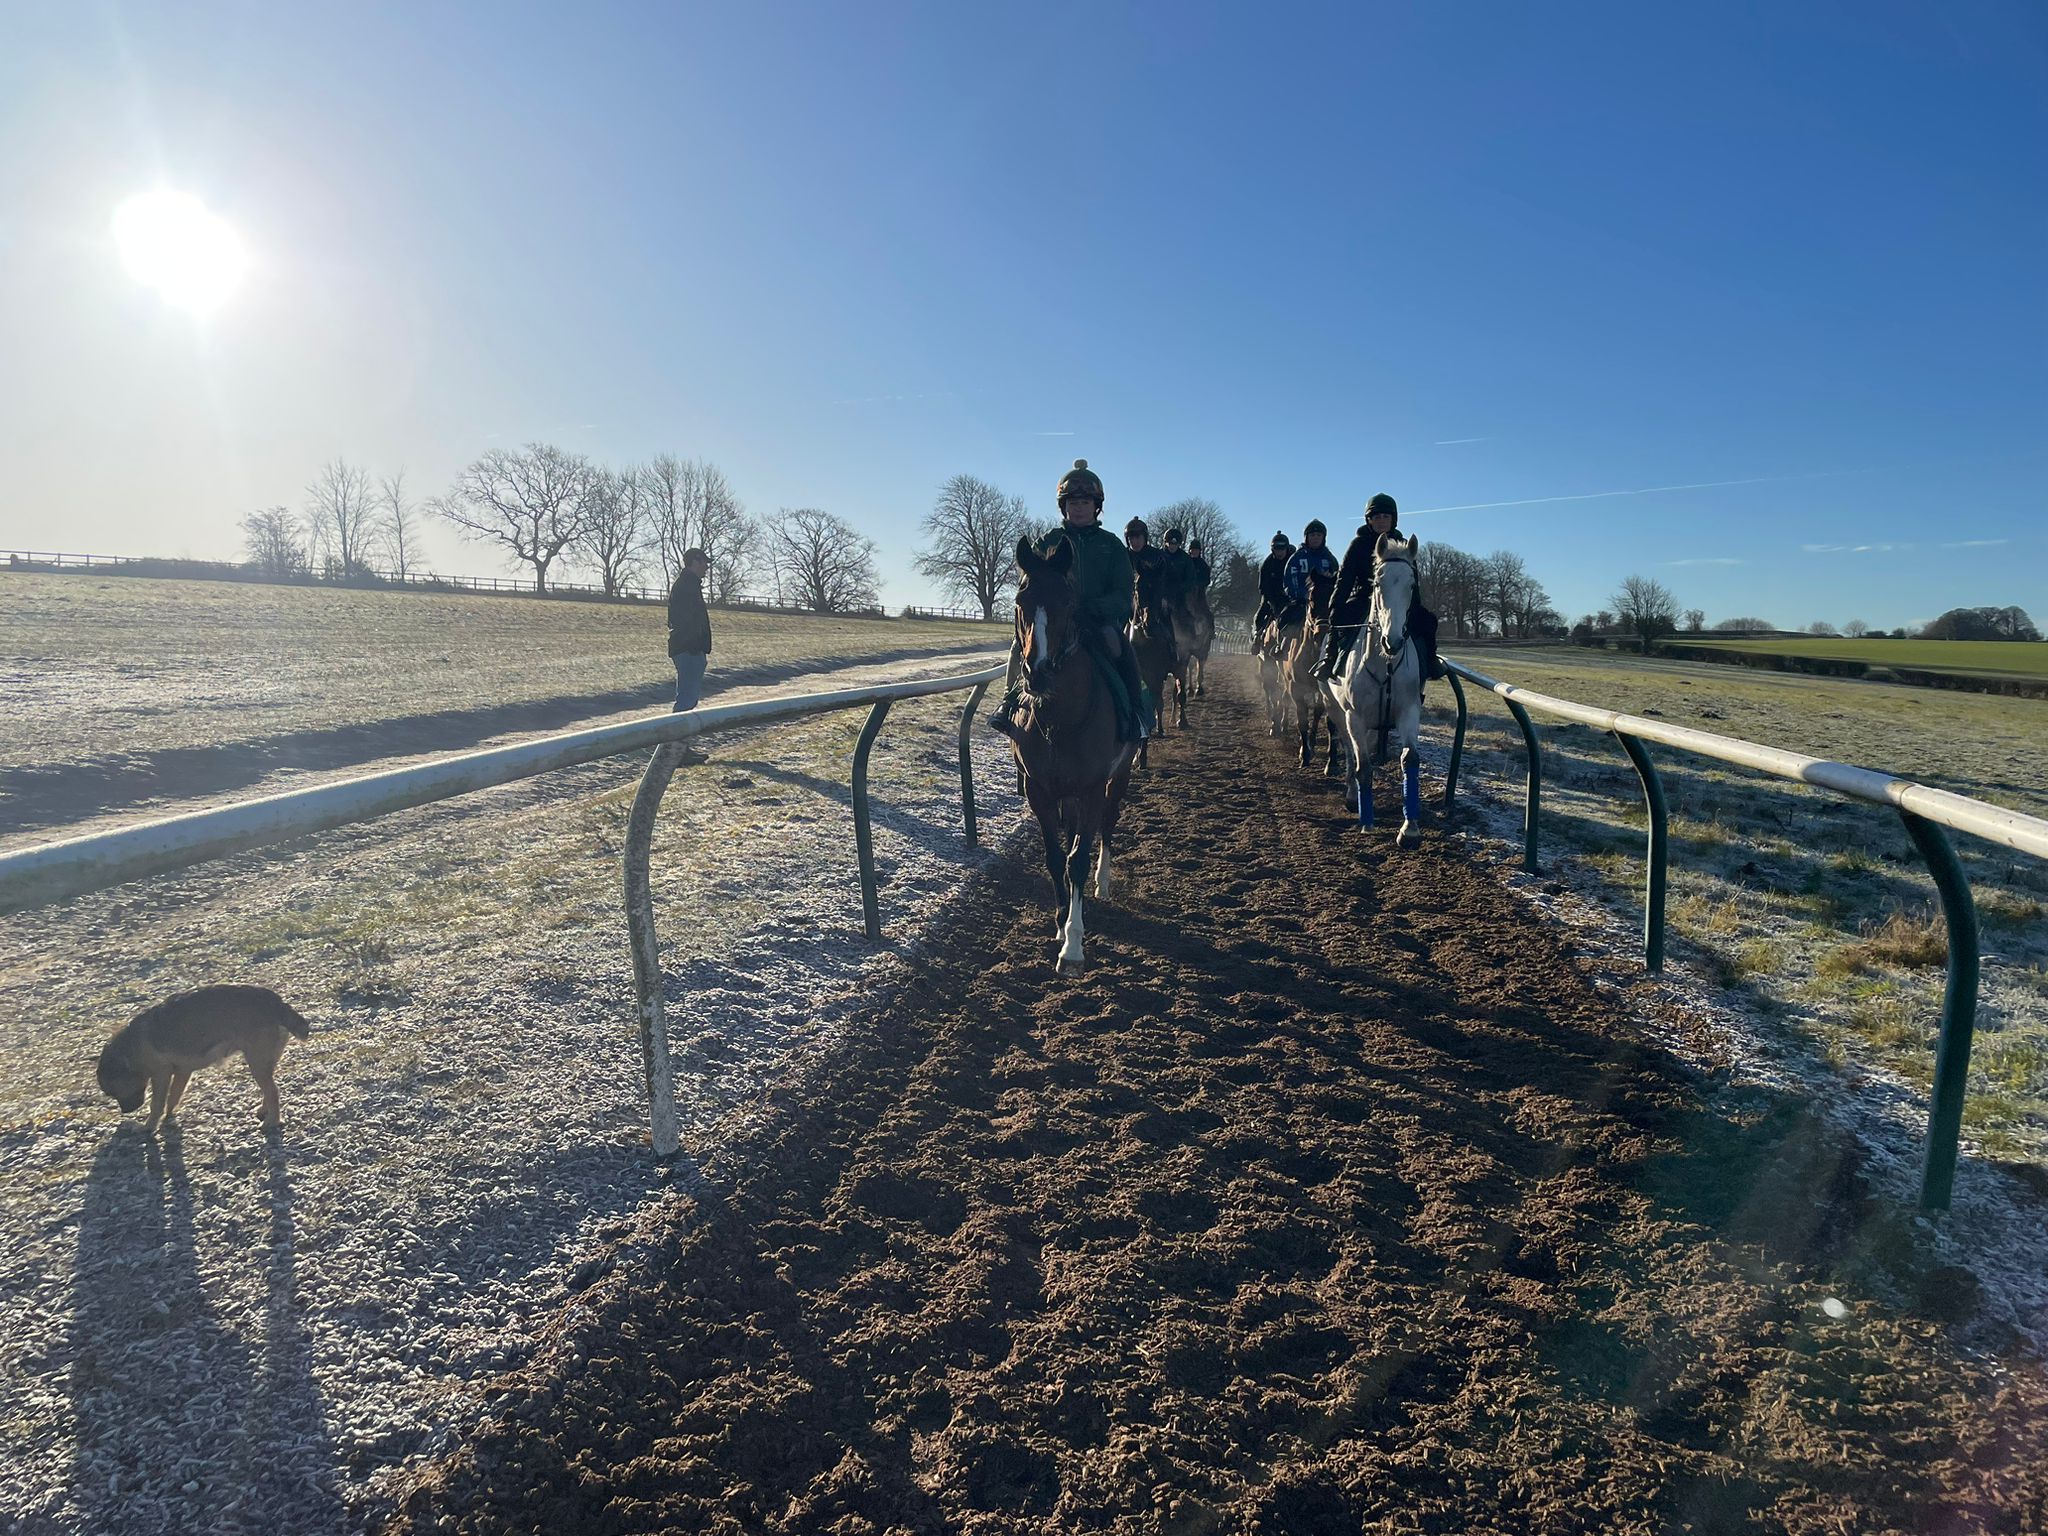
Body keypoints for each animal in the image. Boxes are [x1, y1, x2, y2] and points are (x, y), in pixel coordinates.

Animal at [1015, 536, 1146, 974]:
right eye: (1020, 601)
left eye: (1069, 604)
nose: (1037, 672)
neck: (1061, 719)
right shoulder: (1039, 788)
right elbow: (1057, 857)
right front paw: (1059, 922)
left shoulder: (1091, 786)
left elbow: (1078, 859)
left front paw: (1073, 945)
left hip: (1118, 777)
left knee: (1107, 823)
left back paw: (1102, 881)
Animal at [1277, 573, 1343, 774]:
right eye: (1312, 600)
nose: (1323, 631)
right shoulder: (1296, 687)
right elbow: (1302, 720)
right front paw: (1304, 755)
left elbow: (1328, 722)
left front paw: (1332, 763)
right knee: (1285, 698)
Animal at [1327, 532, 1425, 847]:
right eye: (1378, 583)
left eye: (1411, 584)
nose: (1392, 641)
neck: (1386, 666)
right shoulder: (1355, 716)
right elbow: (1364, 766)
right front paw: (1367, 821)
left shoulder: (1408, 711)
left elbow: (1410, 759)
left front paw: (1409, 829)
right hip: (1336, 709)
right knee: (1348, 747)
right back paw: (1351, 796)